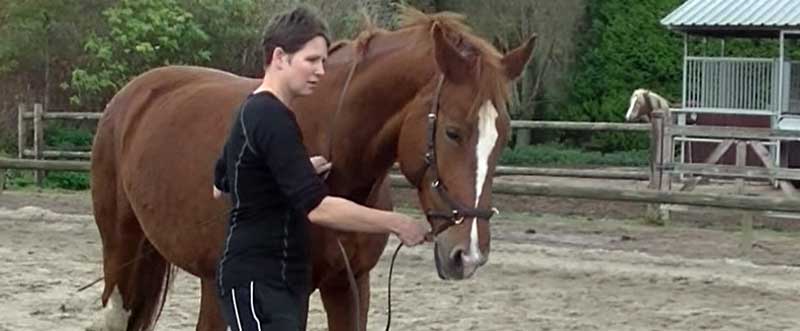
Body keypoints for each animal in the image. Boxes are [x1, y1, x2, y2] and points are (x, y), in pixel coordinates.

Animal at [90, 7, 536, 331]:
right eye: (452, 132)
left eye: (503, 137)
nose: (468, 254)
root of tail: (131, 95)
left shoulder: (350, 286)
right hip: (122, 251)